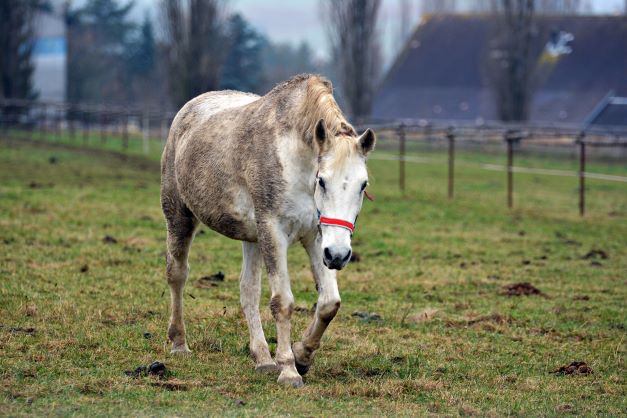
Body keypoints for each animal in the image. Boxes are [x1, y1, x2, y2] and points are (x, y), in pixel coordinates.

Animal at [163, 75, 378, 388]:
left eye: (363, 185)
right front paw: (289, 370)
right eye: (322, 181)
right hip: (179, 215)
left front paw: (302, 356)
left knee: (248, 290)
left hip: (253, 238)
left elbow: (329, 303)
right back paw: (180, 343)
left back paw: (263, 358)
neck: (296, 159)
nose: (339, 255)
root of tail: (188, 110)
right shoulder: (274, 231)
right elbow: (283, 302)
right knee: (177, 275)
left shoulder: (317, 236)